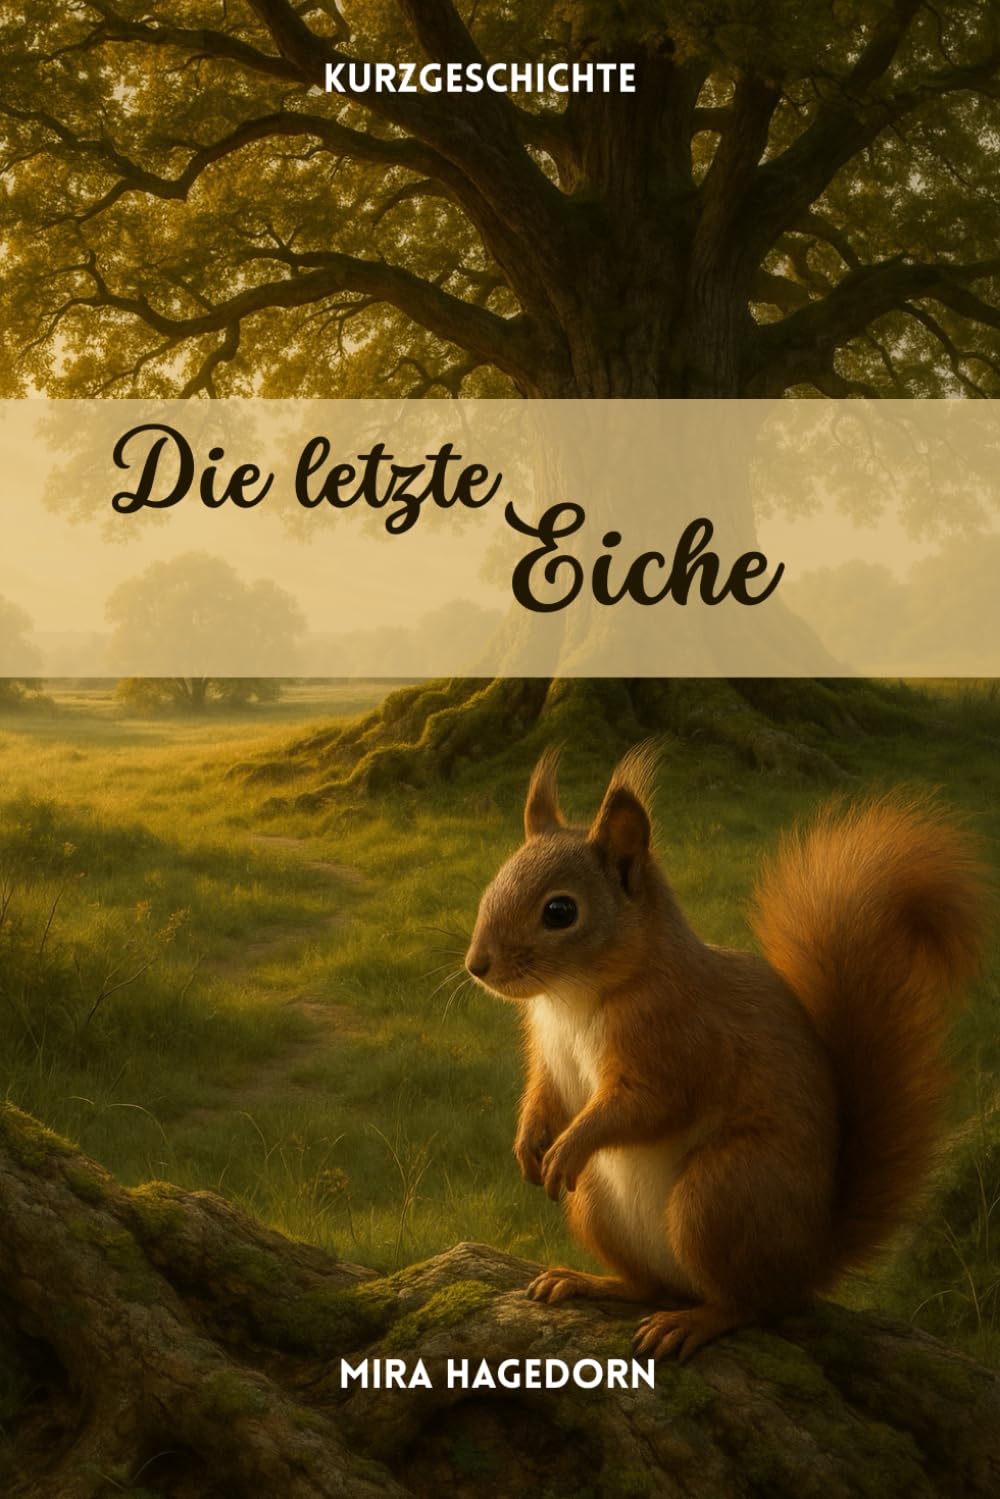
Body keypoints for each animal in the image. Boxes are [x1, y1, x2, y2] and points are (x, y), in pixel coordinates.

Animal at [464, 744, 989, 1361]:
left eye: (560, 912)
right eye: (493, 882)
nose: (477, 965)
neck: (574, 996)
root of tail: (809, 1263)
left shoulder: (678, 1041)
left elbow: (646, 1105)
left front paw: (568, 1146)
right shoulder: (548, 1054)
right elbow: (543, 1096)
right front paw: (527, 1144)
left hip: (721, 1196)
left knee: (750, 1304)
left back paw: (693, 1322)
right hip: (596, 1203)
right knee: (648, 1286)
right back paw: (589, 1281)